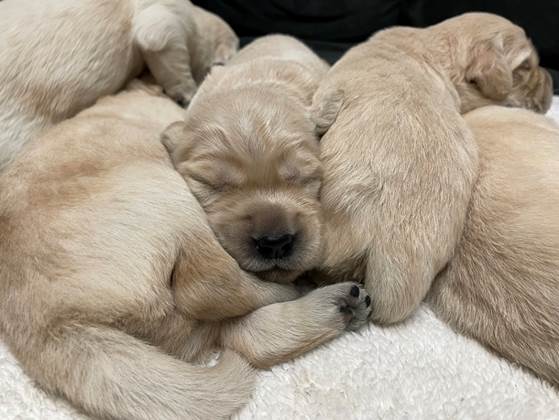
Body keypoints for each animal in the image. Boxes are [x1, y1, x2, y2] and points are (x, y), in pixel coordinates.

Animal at [2, 79, 374, 420]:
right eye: (214, 185)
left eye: (302, 178)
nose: (275, 241)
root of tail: (59, 322)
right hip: (167, 197)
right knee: (211, 286)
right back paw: (301, 291)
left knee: (244, 335)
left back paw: (339, 305)